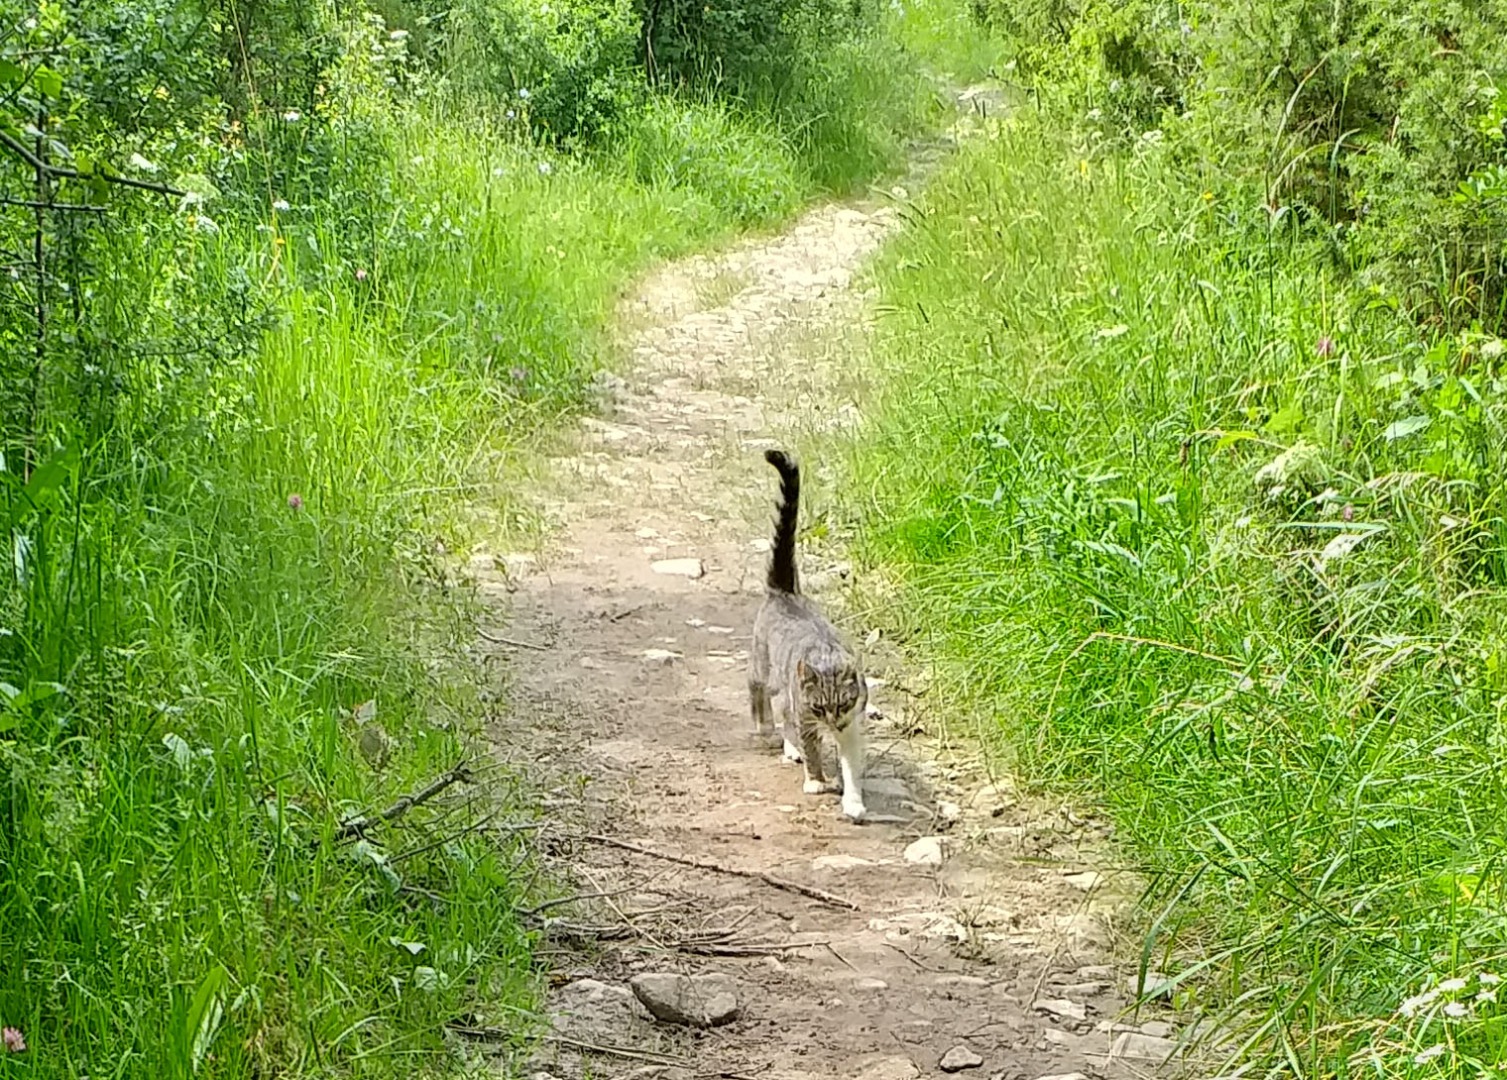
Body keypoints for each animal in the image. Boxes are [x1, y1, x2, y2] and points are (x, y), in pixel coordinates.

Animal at [744, 451, 868, 819]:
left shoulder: (852, 725)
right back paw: (766, 727)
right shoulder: (805, 713)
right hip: (763, 664)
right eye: (819, 705)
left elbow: (851, 766)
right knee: (759, 692)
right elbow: (812, 748)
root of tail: (785, 591)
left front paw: (853, 800)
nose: (832, 723)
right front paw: (815, 780)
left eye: (843, 703)